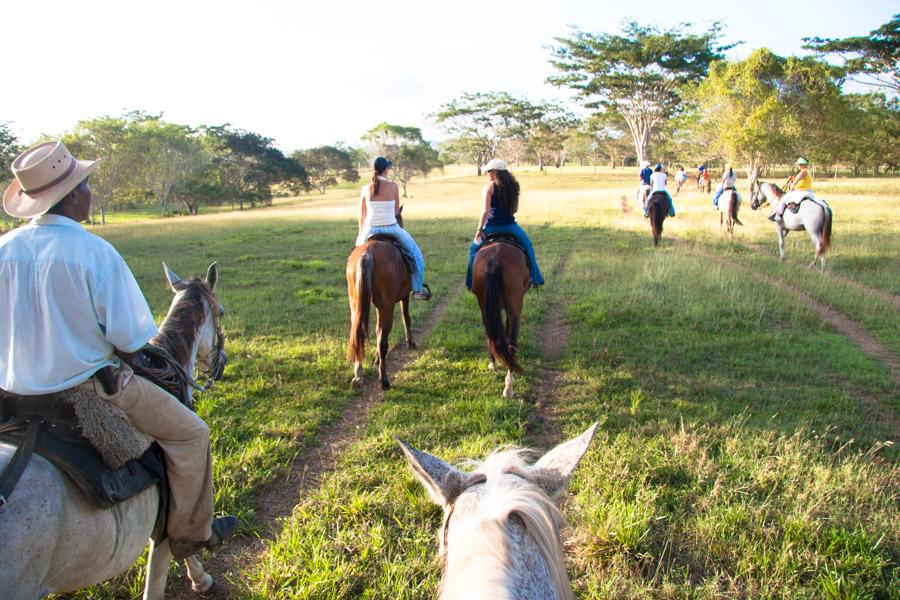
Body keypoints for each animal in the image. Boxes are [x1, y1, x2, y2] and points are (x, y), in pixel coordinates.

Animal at [346, 210, 416, 390]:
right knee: (383, 342)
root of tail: (367, 254)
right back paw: (384, 380)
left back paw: (358, 373)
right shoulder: (404, 297)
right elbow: (406, 318)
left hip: (357, 305)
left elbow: (377, 330)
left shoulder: (379, 306)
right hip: (387, 307)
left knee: (358, 334)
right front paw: (410, 343)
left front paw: (376, 359)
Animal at [472, 238, 528, 398]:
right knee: (512, 342)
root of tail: (495, 259)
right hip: (515, 309)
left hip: (484, 306)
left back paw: (494, 363)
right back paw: (509, 387)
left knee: (491, 334)